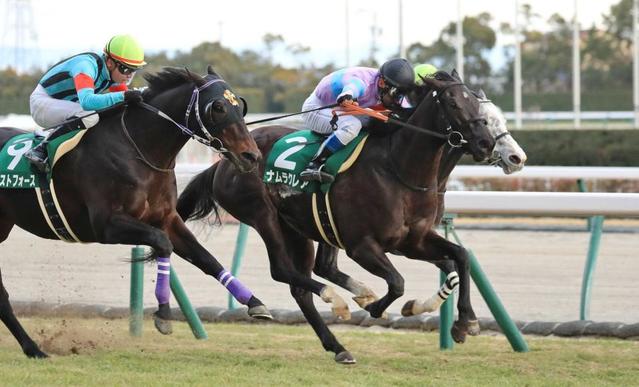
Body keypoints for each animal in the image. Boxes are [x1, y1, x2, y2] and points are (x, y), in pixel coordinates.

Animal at [0, 65, 272, 360]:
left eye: (240, 105)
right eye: (218, 107)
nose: (251, 156)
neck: (138, 149)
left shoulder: (167, 219)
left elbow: (205, 258)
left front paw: (254, 302)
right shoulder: (107, 225)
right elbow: (163, 245)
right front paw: (163, 314)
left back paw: (32, 348)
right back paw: (33, 348)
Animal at [178, 72, 498, 364]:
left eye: (477, 103)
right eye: (453, 103)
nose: (487, 143)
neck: (398, 169)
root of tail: (223, 161)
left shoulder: (412, 241)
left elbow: (460, 257)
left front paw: (465, 322)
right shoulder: (362, 246)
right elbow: (397, 282)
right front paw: (376, 307)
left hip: (298, 228)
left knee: (304, 284)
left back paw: (340, 340)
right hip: (262, 214)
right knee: (282, 270)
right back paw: (340, 302)